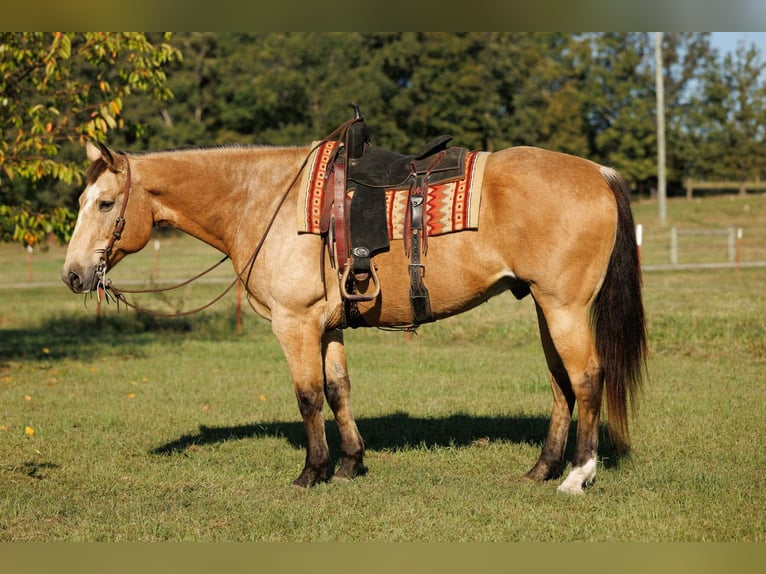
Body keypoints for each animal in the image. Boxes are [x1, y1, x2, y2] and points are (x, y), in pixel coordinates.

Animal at [61, 136, 646, 495]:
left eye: (106, 204)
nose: (73, 275)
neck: (265, 200)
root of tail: (598, 173)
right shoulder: (329, 326)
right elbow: (339, 390)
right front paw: (349, 464)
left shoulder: (294, 323)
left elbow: (308, 396)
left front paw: (311, 472)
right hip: (546, 309)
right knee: (561, 386)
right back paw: (541, 470)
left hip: (564, 308)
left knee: (586, 379)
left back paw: (577, 476)